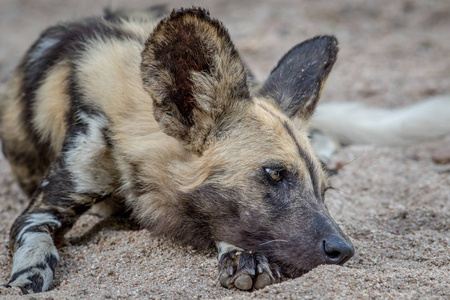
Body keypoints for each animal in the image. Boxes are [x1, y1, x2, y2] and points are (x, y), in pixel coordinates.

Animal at [1, 6, 356, 292]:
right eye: (275, 174)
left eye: (324, 190)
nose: (345, 250)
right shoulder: (40, 211)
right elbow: (36, 247)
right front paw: (27, 278)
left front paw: (242, 256)